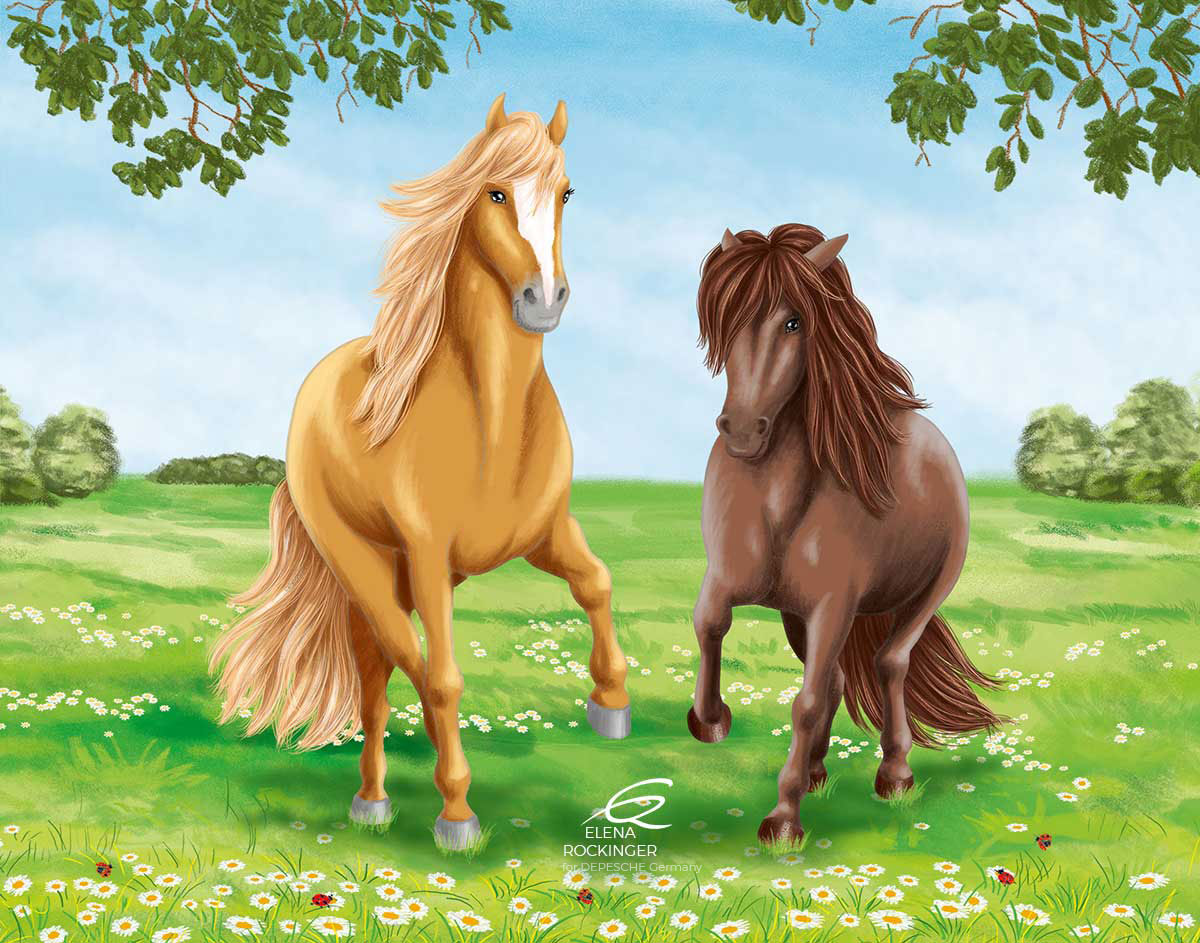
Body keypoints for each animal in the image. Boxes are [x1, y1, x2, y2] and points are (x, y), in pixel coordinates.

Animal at [209, 94, 631, 850]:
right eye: (495, 192)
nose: (544, 300)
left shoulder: (547, 532)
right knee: (390, 669)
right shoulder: (432, 555)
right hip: (367, 571)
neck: (491, 423)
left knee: (384, 667)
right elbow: (442, 679)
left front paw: (610, 702)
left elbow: (597, 582)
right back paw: (377, 799)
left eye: (566, 192)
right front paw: (457, 813)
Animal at [687, 223, 1002, 845]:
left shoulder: (834, 604)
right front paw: (710, 719)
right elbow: (709, 623)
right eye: (726, 320)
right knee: (836, 679)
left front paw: (782, 821)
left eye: (794, 323)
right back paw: (813, 771)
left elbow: (807, 702)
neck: (778, 500)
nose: (741, 432)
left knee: (888, 663)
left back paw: (894, 773)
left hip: (922, 593)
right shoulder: (729, 577)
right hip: (798, 617)